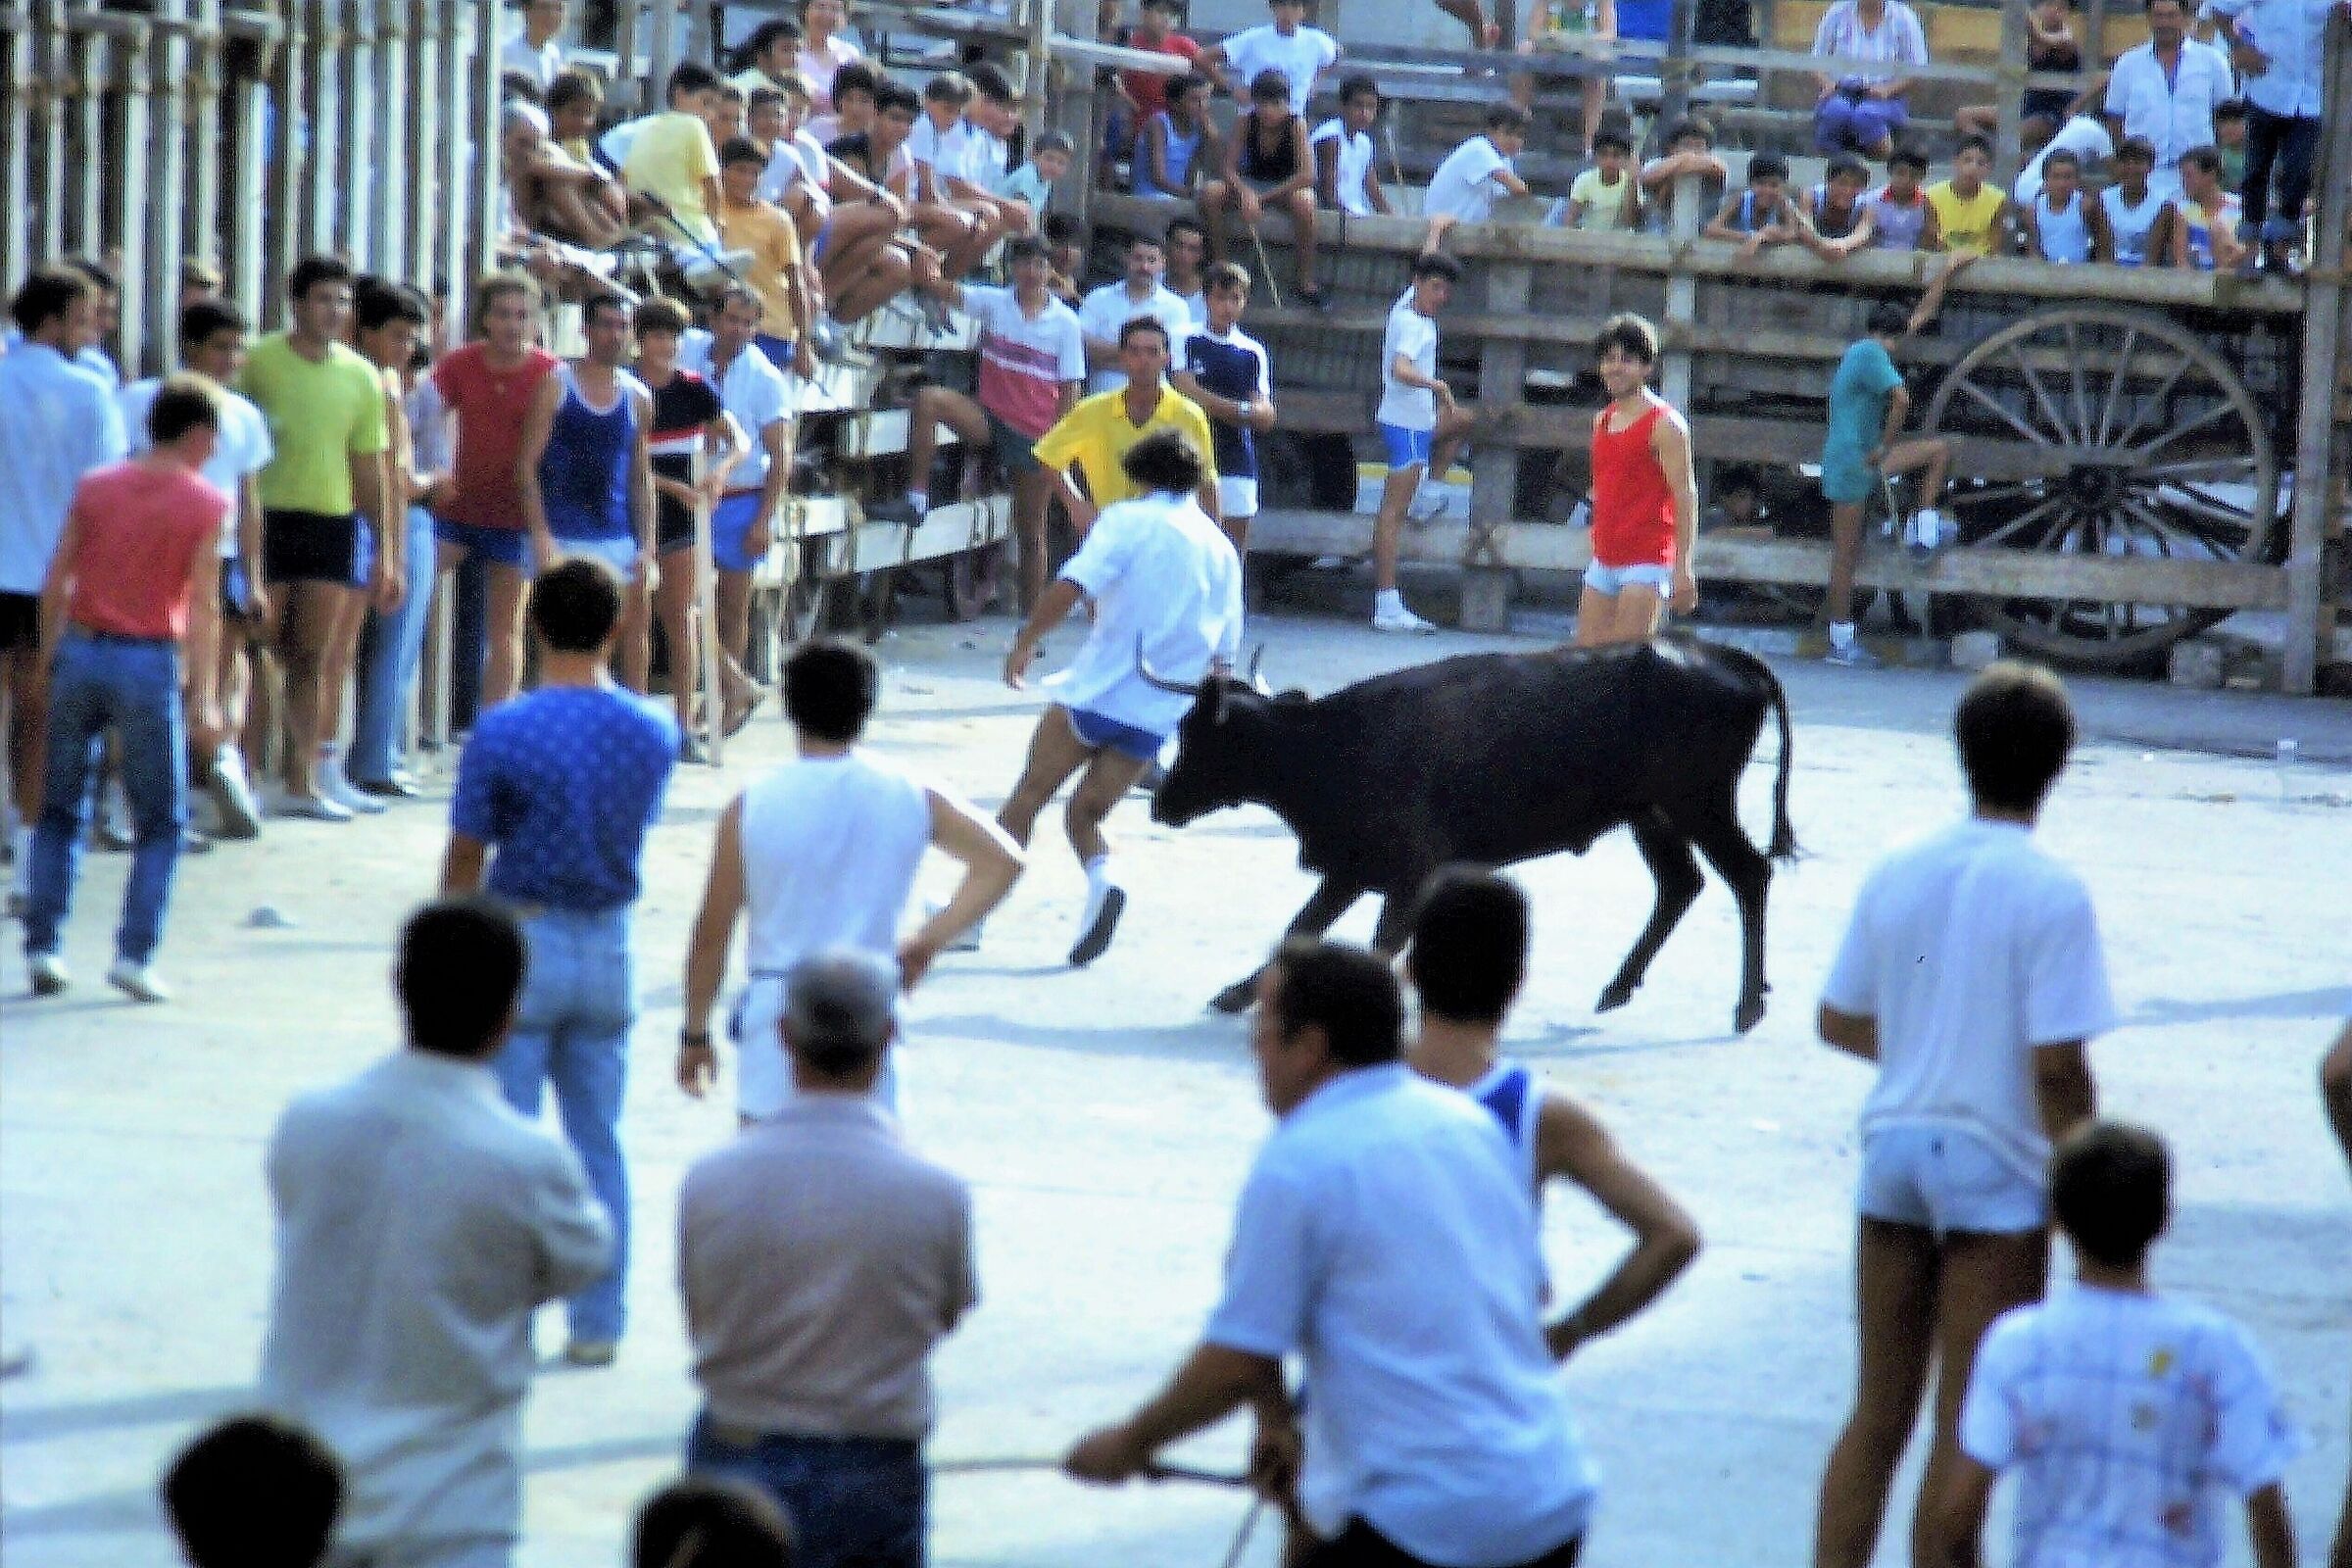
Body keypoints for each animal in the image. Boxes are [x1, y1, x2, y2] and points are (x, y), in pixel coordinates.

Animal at [1143, 636, 1798, 1033]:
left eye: (1196, 733)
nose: (1160, 804)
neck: (1332, 743)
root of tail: (1726, 656)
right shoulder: (1354, 867)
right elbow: (1299, 930)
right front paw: (1234, 995)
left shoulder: (1411, 871)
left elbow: (1377, 942)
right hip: (1653, 814)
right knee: (1681, 885)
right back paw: (1619, 988)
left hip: (1698, 805)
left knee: (1748, 874)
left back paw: (1748, 1006)